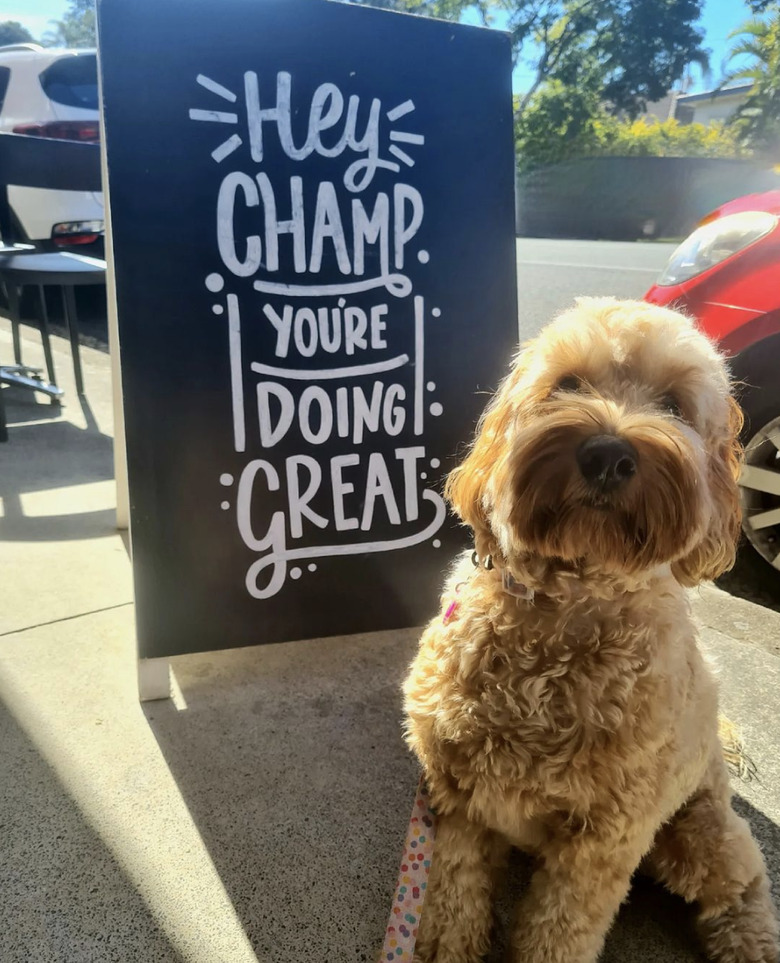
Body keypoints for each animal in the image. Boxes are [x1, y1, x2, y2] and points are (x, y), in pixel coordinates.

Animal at [406, 302, 776, 963]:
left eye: (674, 404)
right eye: (567, 384)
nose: (608, 455)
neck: (565, 605)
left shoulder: (603, 842)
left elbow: (557, 931)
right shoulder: (461, 800)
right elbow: (453, 894)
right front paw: (446, 944)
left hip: (701, 832)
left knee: (742, 884)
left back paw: (750, 940)